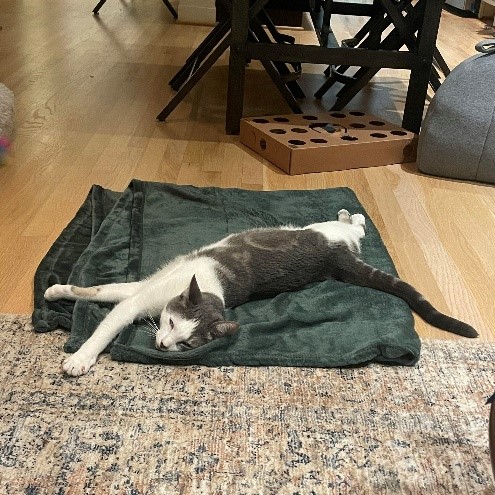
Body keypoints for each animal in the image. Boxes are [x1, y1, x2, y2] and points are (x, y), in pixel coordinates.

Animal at [44, 209, 478, 376]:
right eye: (168, 324)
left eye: (185, 344)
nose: (164, 345)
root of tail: (333, 260)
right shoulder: (143, 290)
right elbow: (100, 290)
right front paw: (57, 289)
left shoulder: (139, 300)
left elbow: (106, 322)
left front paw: (80, 359)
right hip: (329, 237)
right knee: (354, 231)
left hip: (333, 237)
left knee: (356, 229)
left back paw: (351, 212)